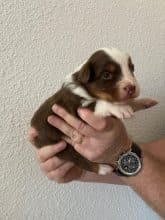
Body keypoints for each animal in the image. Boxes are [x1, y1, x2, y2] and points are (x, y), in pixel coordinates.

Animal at [30, 47, 157, 175]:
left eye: (132, 69)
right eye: (106, 75)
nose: (132, 87)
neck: (85, 88)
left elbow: (126, 101)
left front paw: (144, 102)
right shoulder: (77, 108)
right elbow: (101, 103)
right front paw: (121, 108)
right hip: (58, 144)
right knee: (78, 158)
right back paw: (102, 168)